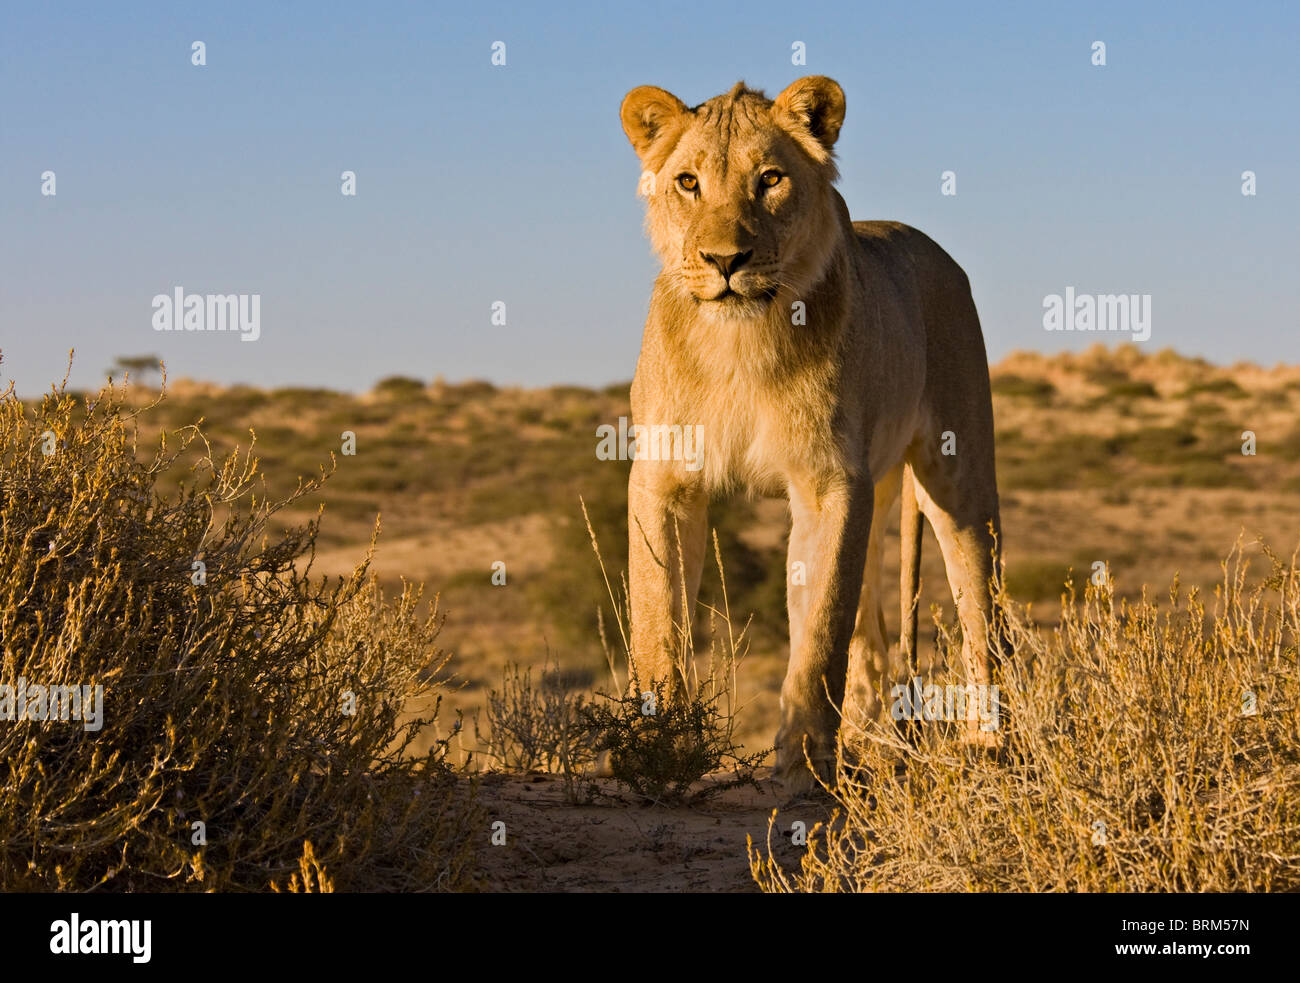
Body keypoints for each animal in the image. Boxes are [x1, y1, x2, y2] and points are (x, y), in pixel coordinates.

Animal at [619, 76, 1004, 794]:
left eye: (770, 179)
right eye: (687, 182)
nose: (725, 260)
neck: (738, 342)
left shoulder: (830, 484)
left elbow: (820, 629)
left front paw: (801, 763)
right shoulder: (664, 478)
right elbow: (658, 616)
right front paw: (653, 751)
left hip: (958, 481)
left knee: (983, 621)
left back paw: (987, 743)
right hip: (880, 498)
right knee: (873, 644)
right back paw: (869, 746)